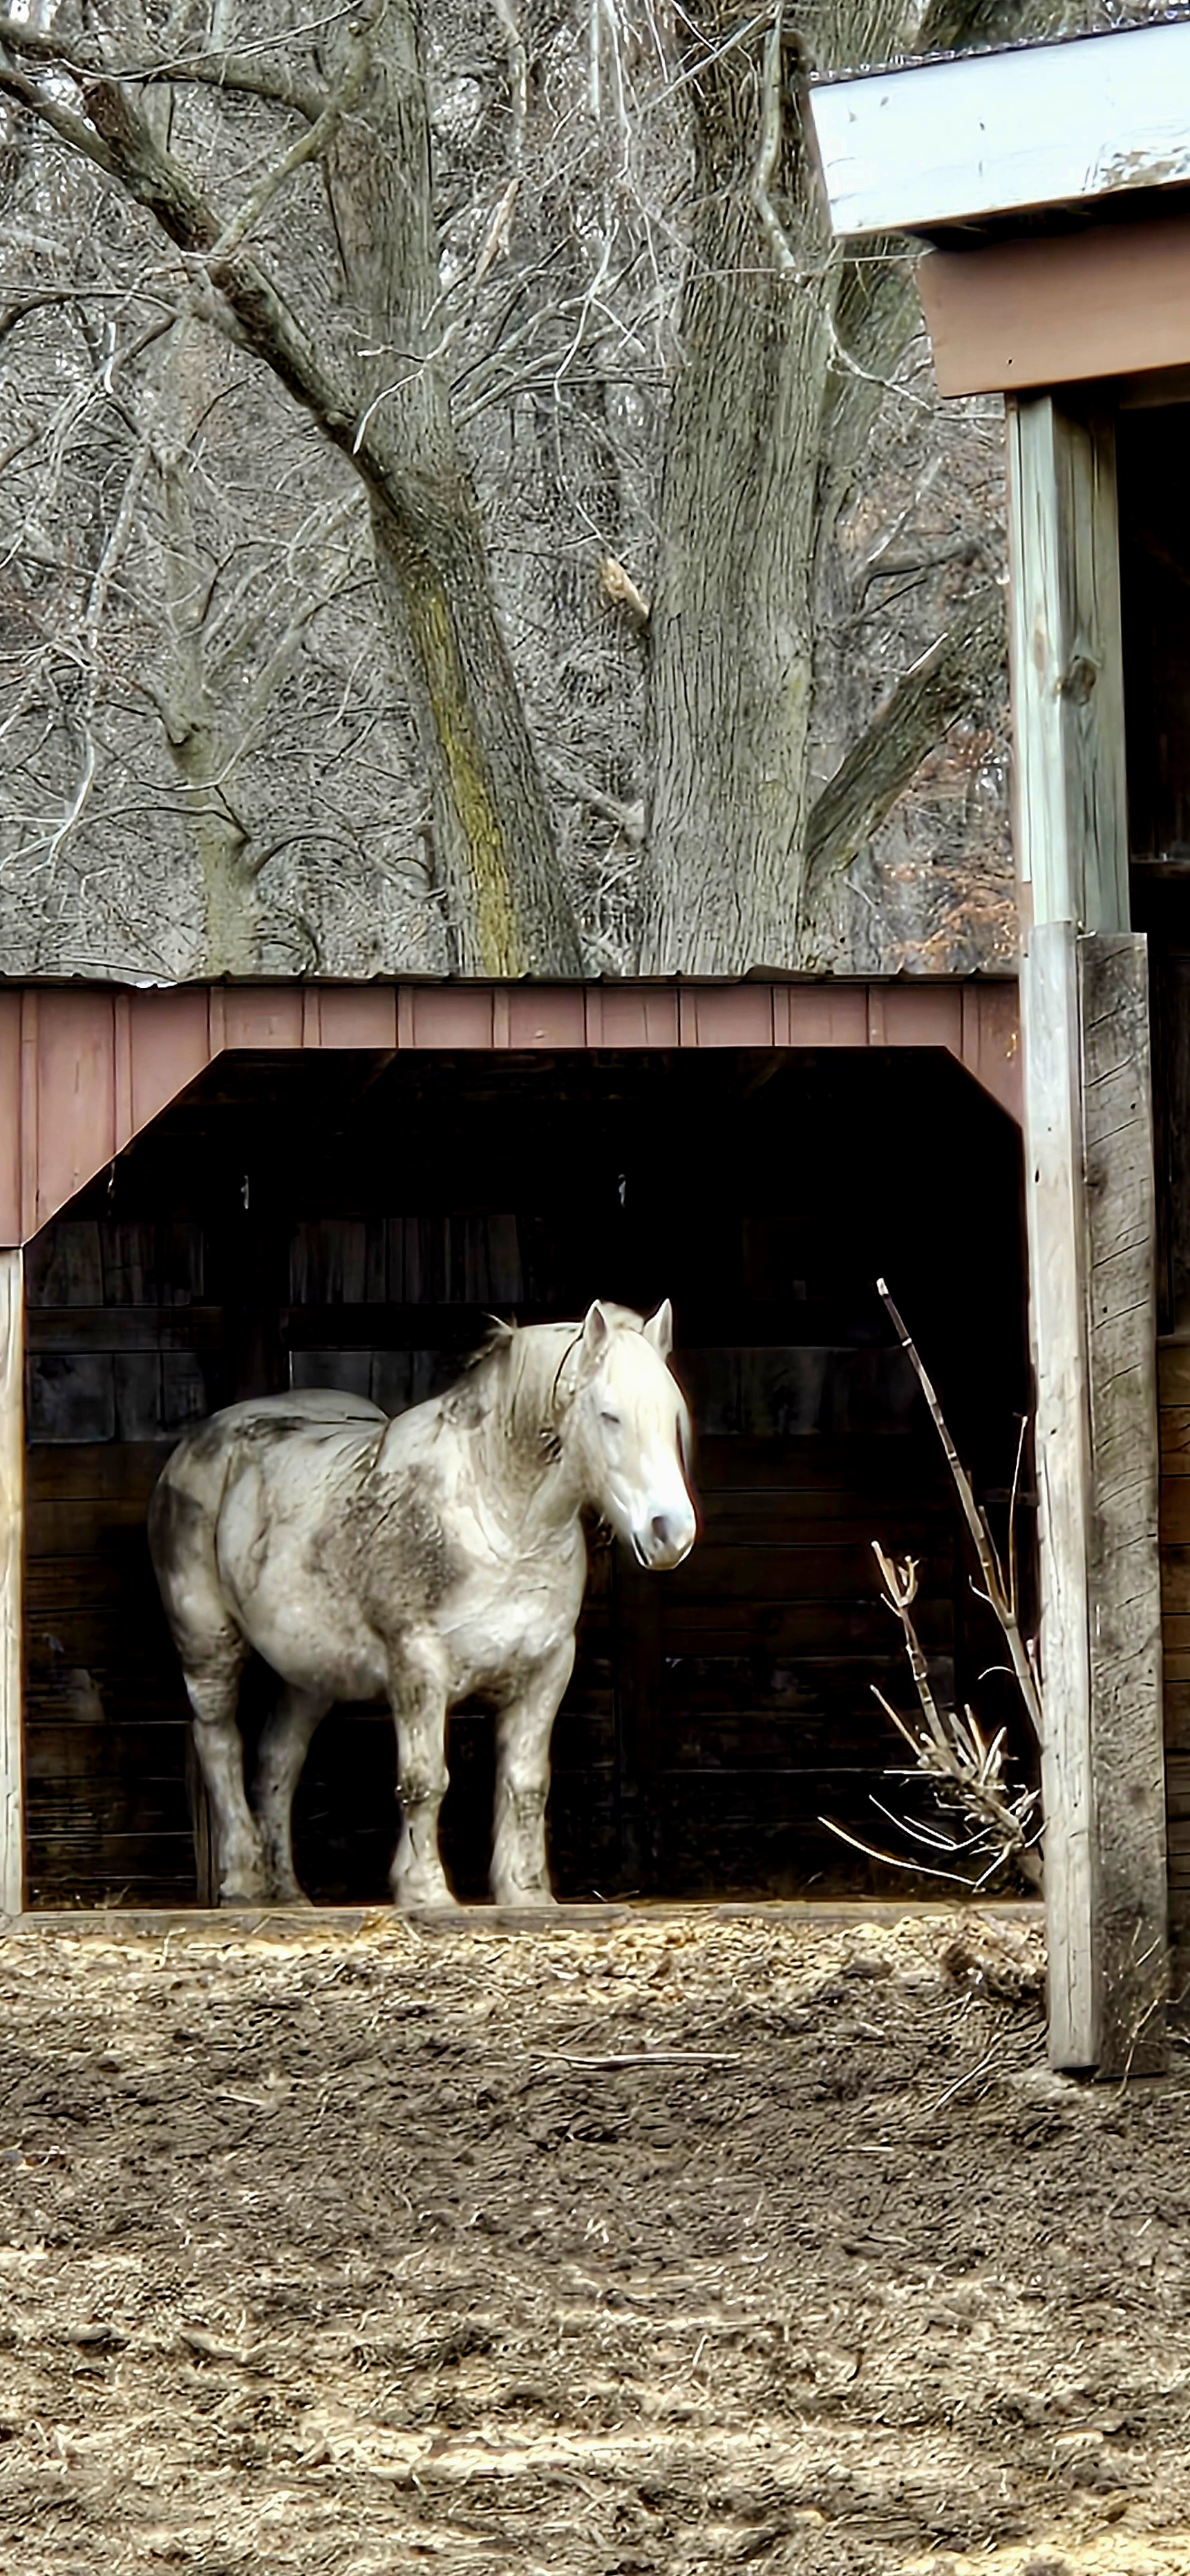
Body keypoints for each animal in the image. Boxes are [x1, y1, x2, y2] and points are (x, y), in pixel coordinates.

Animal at [146, 1298, 695, 1906]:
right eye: (609, 1416)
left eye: (672, 1417)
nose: (671, 1532)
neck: (500, 1519)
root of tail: (198, 1443)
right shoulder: (419, 1667)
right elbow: (425, 1782)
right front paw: (425, 1891)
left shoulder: (546, 1670)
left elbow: (527, 1785)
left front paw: (524, 1892)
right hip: (209, 1644)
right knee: (220, 1744)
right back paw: (243, 1881)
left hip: (309, 1676)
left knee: (276, 1763)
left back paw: (287, 1891)